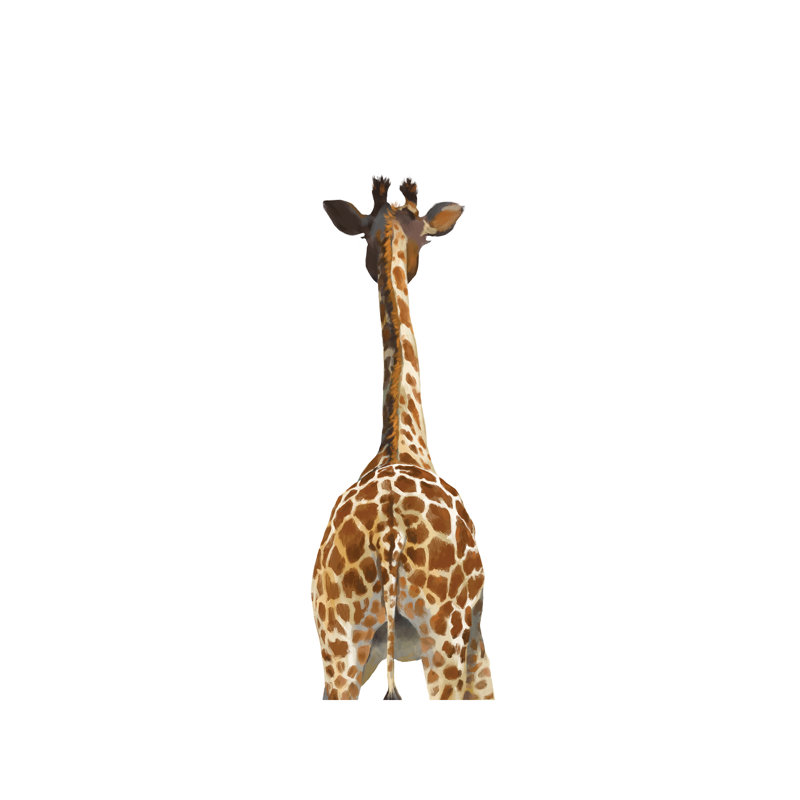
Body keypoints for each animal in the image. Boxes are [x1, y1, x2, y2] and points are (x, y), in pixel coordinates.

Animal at [311, 177, 494, 700]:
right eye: (427, 239)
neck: (404, 442)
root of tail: (389, 531)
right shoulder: (479, 641)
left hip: (339, 647)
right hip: (444, 638)